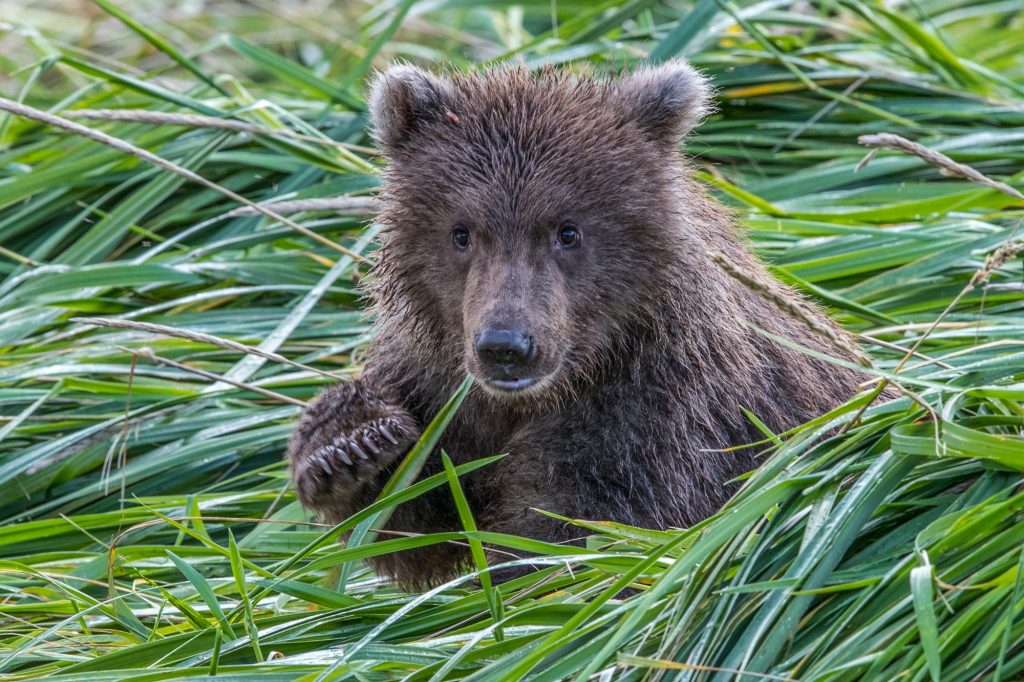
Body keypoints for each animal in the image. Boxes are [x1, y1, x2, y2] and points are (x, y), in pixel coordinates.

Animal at [286, 62, 864, 585]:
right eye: (461, 232)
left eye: (568, 230)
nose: (506, 346)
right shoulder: (443, 385)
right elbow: (420, 519)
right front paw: (349, 445)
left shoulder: (664, 412)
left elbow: (580, 529)